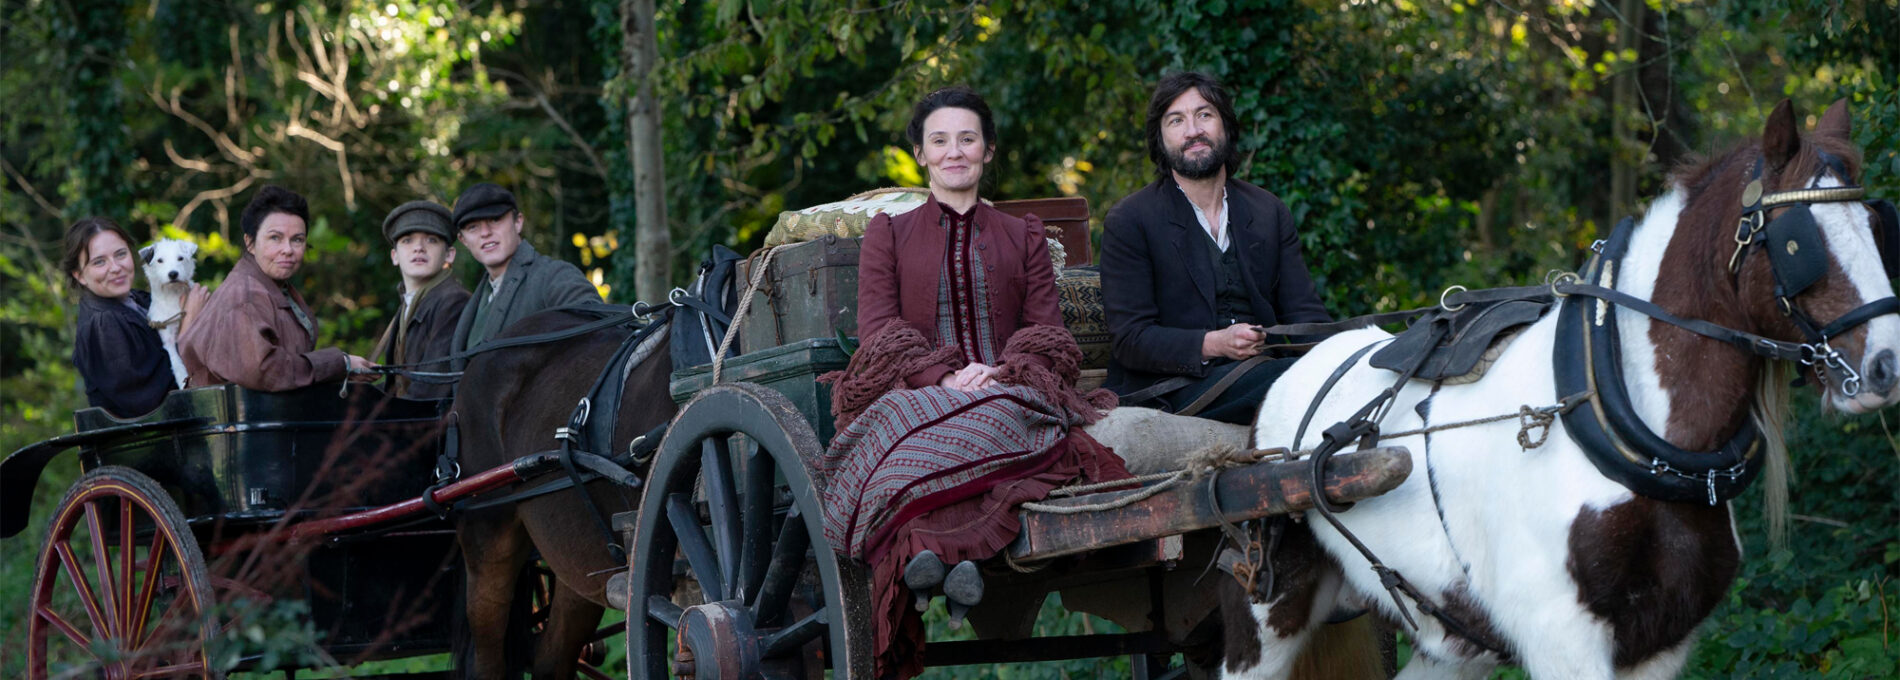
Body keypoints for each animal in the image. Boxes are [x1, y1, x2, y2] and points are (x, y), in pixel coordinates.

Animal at [140, 239, 198, 389]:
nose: (173, 274)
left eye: (180, 258)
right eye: (160, 260)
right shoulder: (168, 339)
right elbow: (176, 362)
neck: (173, 294)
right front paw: (183, 379)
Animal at [1219, 98, 1898, 679]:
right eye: (1797, 241)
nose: (1887, 366)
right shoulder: (1563, 641)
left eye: (1876, 224)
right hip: (1266, 613)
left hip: (1452, 637)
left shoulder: (1659, 645)